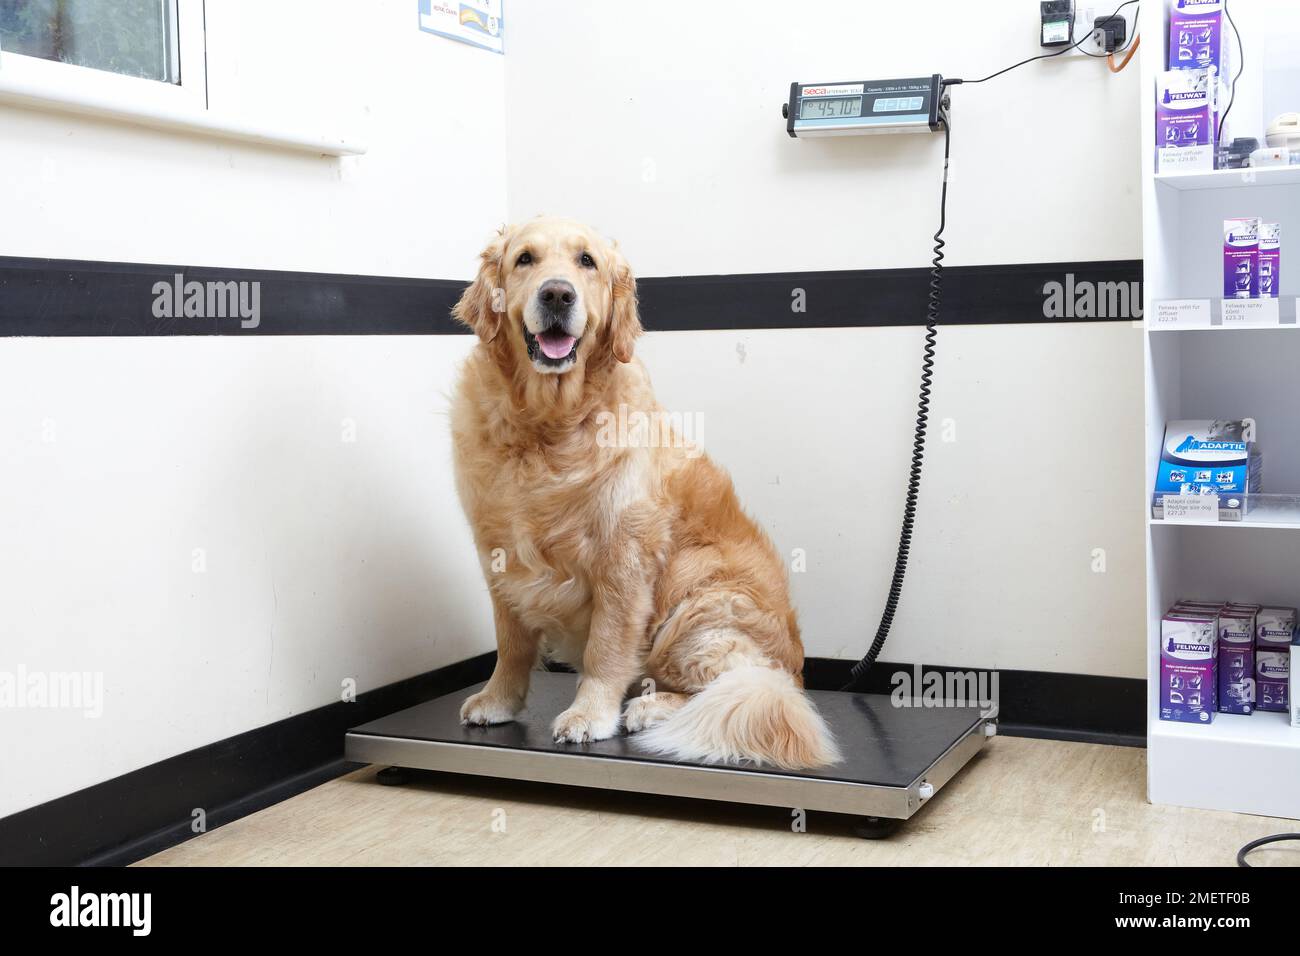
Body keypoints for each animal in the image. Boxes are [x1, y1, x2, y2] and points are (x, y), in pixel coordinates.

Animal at [452, 217, 837, 770]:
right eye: (525, 258)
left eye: (586, 261)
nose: (557, 294)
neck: (548, 425)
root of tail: (796, 671)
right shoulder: (498, 554)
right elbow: (511, 642)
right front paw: (499, 699)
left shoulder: (625, 558)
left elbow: (606, 648)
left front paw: (589, 714)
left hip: (699, 601)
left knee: (734, 686)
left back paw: (652, 707)